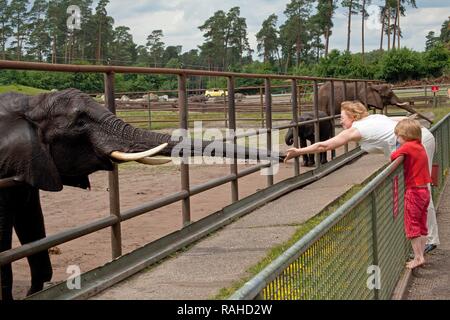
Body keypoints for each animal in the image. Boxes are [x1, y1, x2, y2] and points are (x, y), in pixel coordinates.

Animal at [0, 88, 278, 300]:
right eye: (79, 123)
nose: (280, 155)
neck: (29, 104)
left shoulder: (29, 161)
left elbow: (31, 221)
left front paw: (35, 292)